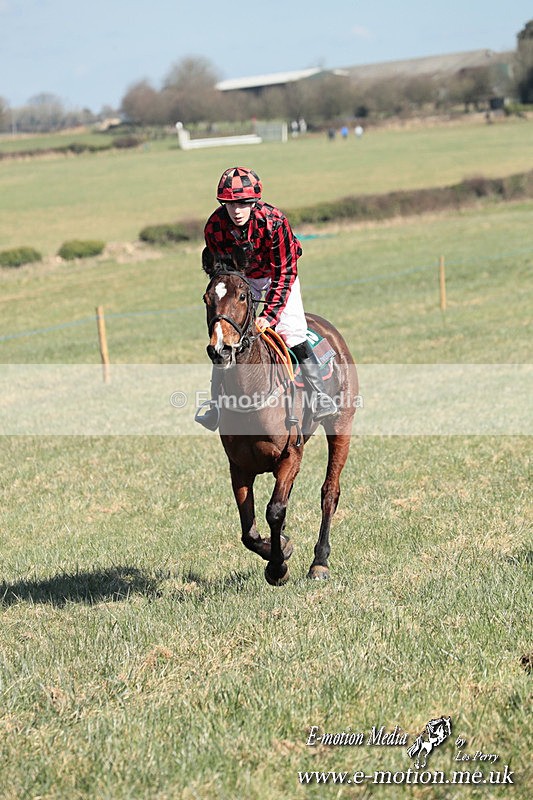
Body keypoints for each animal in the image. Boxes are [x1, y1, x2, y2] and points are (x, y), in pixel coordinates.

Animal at [200, 248, 358, 586]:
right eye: (207, 298)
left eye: (242, 295)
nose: (220, 349)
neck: (252, 390)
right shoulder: (238, 466)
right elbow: (248, 529)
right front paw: (280, 547)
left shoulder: (289, 455)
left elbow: (274, 510)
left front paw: (277, 566)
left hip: (341, 425)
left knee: (330, 492)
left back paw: (319, 562)